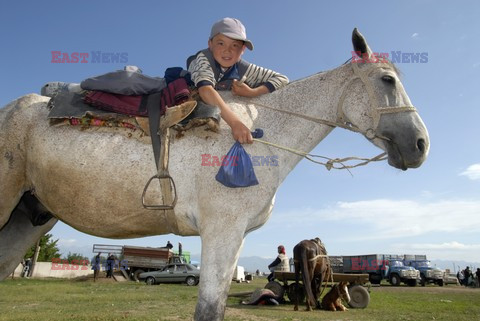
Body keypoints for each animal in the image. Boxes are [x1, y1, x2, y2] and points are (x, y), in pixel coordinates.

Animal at [0, 28, 428, 318]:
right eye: (387, 80)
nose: (421, 144)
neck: (260, 133)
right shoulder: (221, 232)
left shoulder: (234, 238)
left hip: (31, 216)